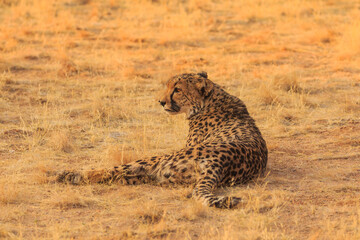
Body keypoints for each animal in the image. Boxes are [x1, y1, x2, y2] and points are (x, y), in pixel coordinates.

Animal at [57, 71, 268, 208]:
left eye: (177, 90)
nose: (161, 102)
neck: (212, 99)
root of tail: (219, 163)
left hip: (157, 161)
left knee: (114, 171)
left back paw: (68, 174)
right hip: (163, 175)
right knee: (123, 176)